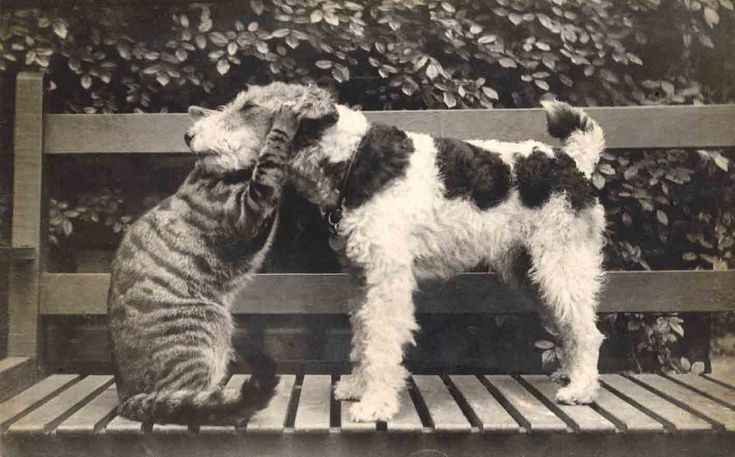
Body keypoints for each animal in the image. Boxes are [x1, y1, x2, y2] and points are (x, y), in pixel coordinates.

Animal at [108, 97, 302, 424]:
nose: (189, 136)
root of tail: (126, 398)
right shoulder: (249, 212)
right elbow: (270, 163)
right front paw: (283, 125)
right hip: (209, 324)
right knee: (192, 402)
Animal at [187, 83, 608, 422]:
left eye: (249, 107)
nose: (189, 134)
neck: (351, 160)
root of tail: (573, 163)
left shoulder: (387, 279)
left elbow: (381, 342)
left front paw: (375, 405)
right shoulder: (361, 277)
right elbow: (362, 336)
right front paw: (357, 387)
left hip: (560, 265)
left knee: (588, 331)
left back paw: (581, 390)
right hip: (530, 273)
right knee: (570, 326)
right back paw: (570, 376)